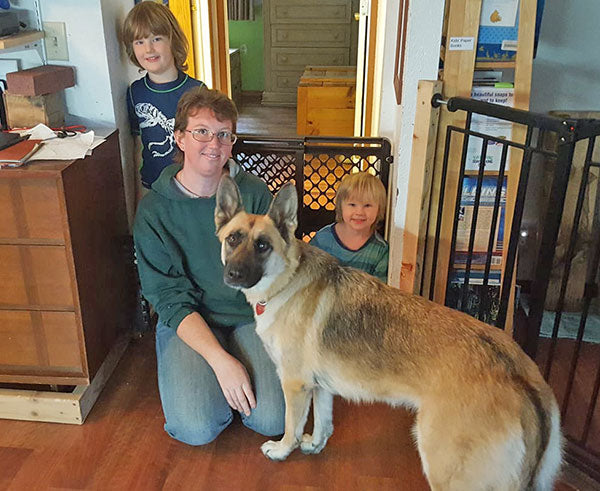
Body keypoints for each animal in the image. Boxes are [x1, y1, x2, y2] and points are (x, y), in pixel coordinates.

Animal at [213, 175, 560, 490]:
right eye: (233, 239)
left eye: (262, 245)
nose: (232, 275)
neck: (288, 279)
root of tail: (517, 374)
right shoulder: (320, 387)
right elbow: (323, 423)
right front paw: (314, 445)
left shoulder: (295, 386)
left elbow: (291, 426)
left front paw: (284, 449)